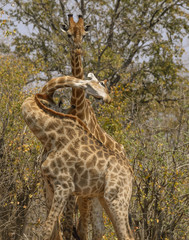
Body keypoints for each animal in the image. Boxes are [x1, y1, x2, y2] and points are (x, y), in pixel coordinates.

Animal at [21, 75, 134, 240]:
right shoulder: (48, 184)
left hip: (116, 198)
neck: (50, 137)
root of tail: (131, 173)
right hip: (102, 197)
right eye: (100, 83)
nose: (107, 98)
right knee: (111, 231)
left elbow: (47, 230)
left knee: (124, 234)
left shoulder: (64, 186)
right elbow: (53, 231)